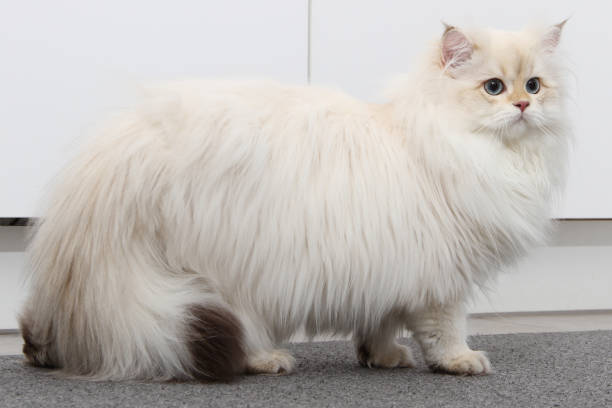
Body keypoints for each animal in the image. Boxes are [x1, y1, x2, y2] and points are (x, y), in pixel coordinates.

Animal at [21, 21, 572, 380]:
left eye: (535, 84)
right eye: (493, 87)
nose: (524, 105)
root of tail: (128, 146)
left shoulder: (388, 266)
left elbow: (381, 322)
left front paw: (383, 356)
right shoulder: (442, 278)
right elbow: (446, 330)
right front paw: (459, 361)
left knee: (44, 320)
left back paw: (38, 350)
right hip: (228, 273)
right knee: (235, 329)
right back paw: (266, 361)